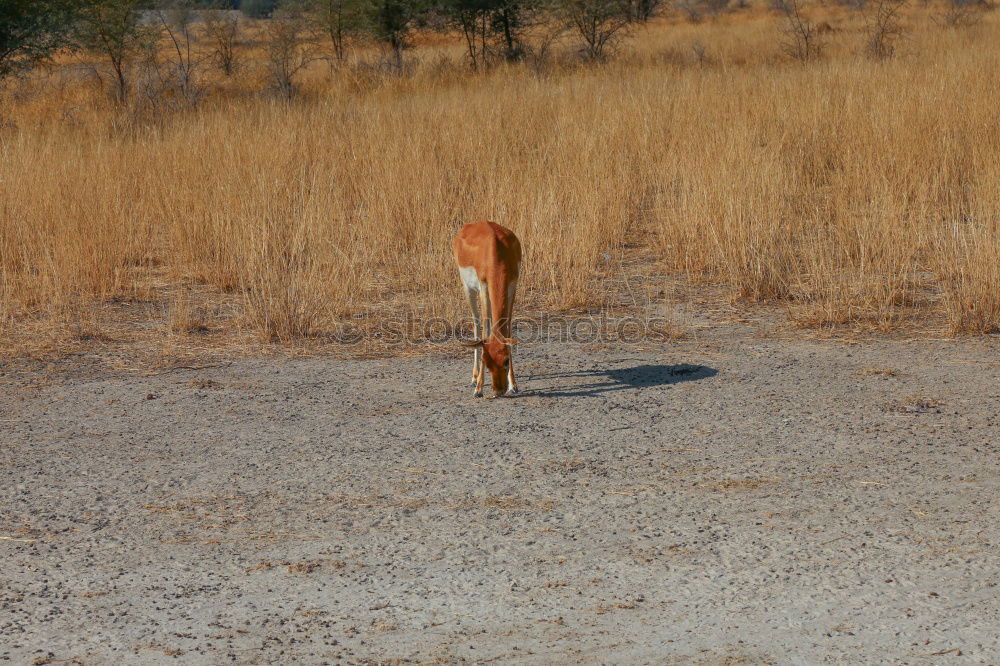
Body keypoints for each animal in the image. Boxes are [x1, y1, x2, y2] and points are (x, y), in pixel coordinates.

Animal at [456, 220, 524, 396]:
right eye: (485, 361)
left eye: (506, 360)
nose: (499, 390)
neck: (496, 251)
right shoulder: (484, 288)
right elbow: (484, 331)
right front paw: (478, 389)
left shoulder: (512, 285)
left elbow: (508, 330)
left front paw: (513, 385)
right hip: (468, 289)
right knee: (476, 323)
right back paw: (474, 379)